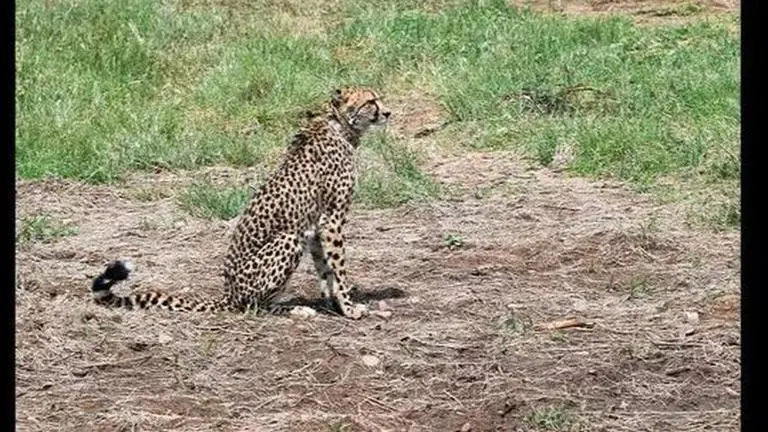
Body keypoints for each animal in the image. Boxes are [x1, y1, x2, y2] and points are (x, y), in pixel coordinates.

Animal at [90, 86, 391, 320]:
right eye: (370, 101)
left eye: (379, 98)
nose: (388, 113)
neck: (341, 127)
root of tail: (228, 294)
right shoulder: (332, 219)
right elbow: (338, 268)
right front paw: (349, 308)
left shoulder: (317, 226)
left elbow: (325, 269)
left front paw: (333, 303)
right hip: (288, 239)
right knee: (253, 306)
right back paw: (295, 310)